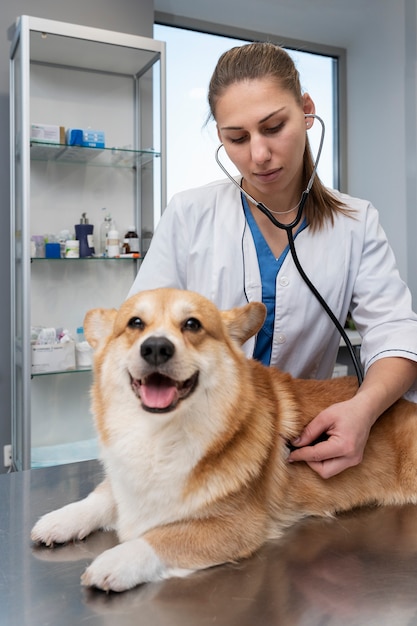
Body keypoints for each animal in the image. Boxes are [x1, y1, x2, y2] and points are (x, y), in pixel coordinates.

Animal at [30, 288, 416, 588]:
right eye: (135, 324)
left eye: (192, 324)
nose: (155, 348)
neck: (163, 433)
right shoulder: (129, 482)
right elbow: (100, 497)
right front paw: (60, 520)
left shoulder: (237, 525)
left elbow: (161, 538)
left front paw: (115, 561)